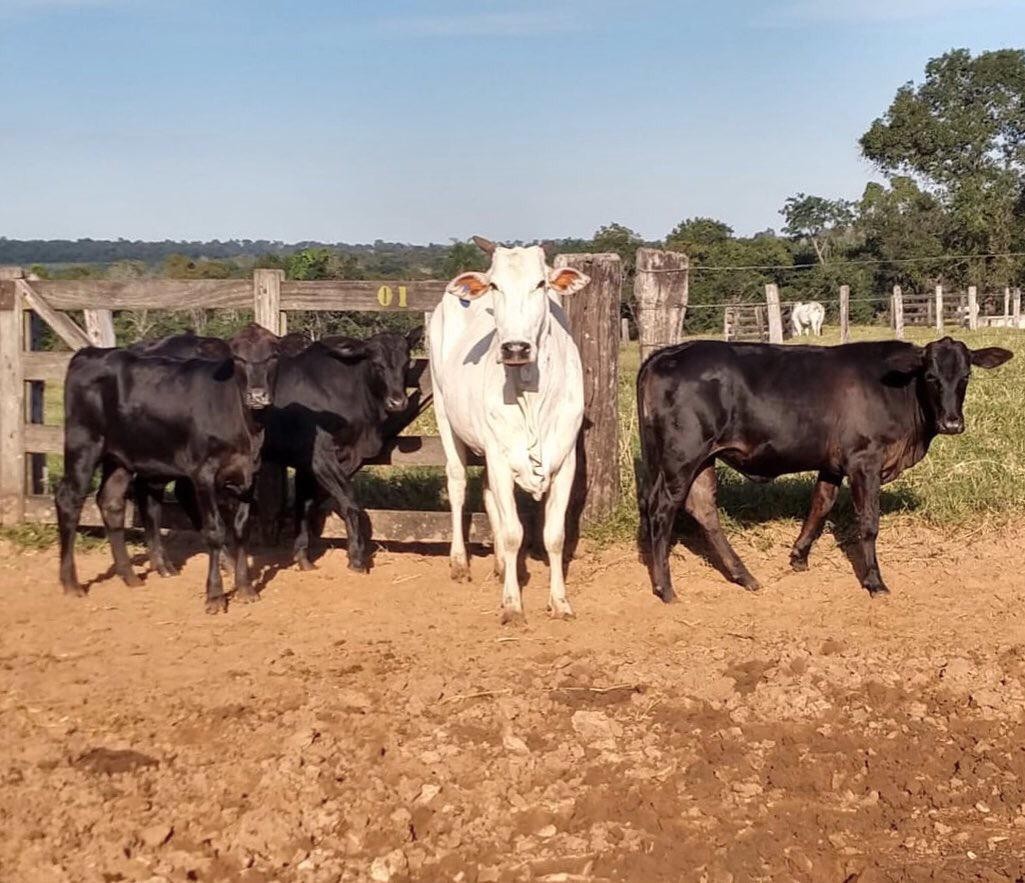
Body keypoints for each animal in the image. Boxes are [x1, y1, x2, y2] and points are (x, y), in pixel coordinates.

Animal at [55, 324, 280, 611]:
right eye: (237, 358)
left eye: (273, 356)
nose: (257, 395)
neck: (244, 426)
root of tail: (89, 353)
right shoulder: (203, 474)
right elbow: (215, 530)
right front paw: (215, 595)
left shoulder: (250, 473)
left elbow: (241, 529)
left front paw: (245, 588)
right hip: (83, 444)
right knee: (69, 499)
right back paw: (71, 583)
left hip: (121, 457)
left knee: (111, 501)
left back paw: (129, 576)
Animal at [428, 233, 590, 619]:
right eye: (495, 286)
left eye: (541, 284)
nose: (515, 348)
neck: (530, 394)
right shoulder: (501, 458)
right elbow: (515, 532)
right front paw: (513, 604)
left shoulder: (565, 461)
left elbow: (554, 535)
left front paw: (559, 601)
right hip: (443, 413)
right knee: (458, 484)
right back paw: (460, 562)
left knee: (488, 496)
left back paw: (502, 564)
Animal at [635, 334, 1012, 603]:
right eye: (931, 376)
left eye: (966, 376)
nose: (952, 422)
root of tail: (668, 353)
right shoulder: (865, 461)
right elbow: (868, 524)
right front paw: (874, 581)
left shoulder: (833, 463)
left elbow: (821, 504)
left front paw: (799, 556)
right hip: (682, 455)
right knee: (662, 509)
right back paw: (666, 588)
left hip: (702, 458)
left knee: (702, 508)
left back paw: (744, 576)